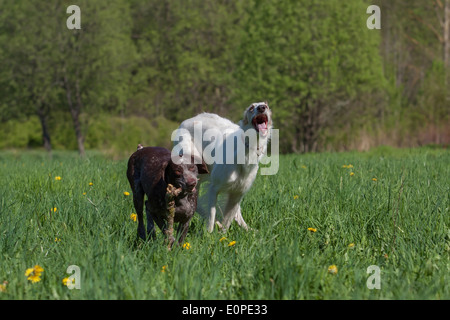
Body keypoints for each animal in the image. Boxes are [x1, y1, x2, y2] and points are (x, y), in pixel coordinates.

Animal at [174, 102, 272, 232]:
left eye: (266, 105)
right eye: (251, 107)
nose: (261, 108)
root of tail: (185, 121)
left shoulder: (238, 192)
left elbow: (228, 220)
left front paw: (223, 233)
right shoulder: (214, 188)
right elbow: (211, 216)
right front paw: (210, 234)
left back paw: (248, 229)